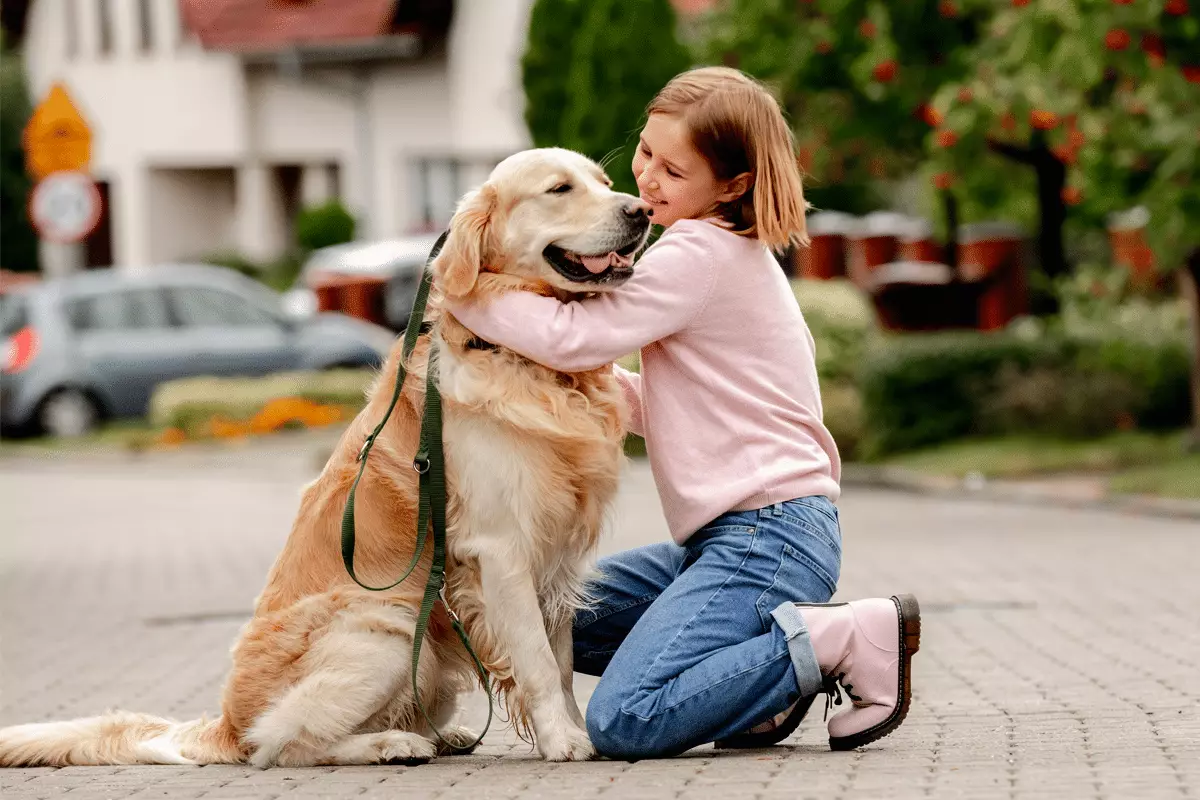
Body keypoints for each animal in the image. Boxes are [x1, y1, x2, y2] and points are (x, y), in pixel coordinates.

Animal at [0, 146, 652, 767]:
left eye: (603, 181)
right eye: (559, 189)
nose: (641, 211)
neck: (522, 358)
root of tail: (224, 726)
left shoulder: (557, 557)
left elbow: (560, 663)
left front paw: (575, 729)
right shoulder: (501, 549)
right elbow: (538, 662)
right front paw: (563, 740)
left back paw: (434, 735)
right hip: (387, 631)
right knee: (283, 742)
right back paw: (392, 745)